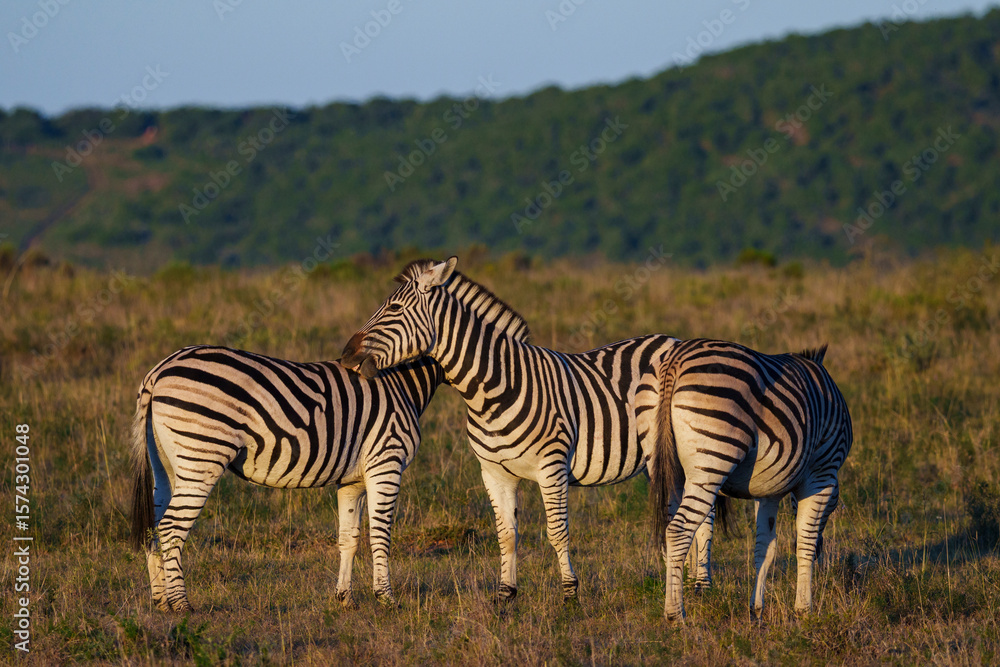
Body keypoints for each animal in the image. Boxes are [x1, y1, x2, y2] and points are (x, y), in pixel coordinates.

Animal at [129, 345, 443, 612]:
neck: (402, 384)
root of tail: (158, 371)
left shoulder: (352, 479)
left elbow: (349, 537)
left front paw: (345, 599)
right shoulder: (385, 461)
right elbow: (380, 534)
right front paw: (387, 600)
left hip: (164, 463)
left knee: (154, 524)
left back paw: (161, 600)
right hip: (201, 454)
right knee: (171, 527)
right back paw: (181, 604)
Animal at [340, 256, 726, 603]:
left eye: (393, 308)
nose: (345, 355)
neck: (493, 389)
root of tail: (675, 340)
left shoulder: (551, 468)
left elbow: (557, 531)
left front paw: (570, 593)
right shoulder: (494, 472)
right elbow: (506, 534)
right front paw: (506, 593)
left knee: (705, 515)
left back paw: (701, 587)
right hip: (663, 458)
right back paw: (684, 579)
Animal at [651, 338, 852, 620]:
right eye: (832, 508)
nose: (822, 555)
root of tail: (676, 360)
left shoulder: (768, 491)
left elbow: (765, 548)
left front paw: (756, 608)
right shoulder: (822, 473)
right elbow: (805, 540)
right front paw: (804, 609)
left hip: (675, 470)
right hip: (710, 464)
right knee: (678, 531)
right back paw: (675, 614)